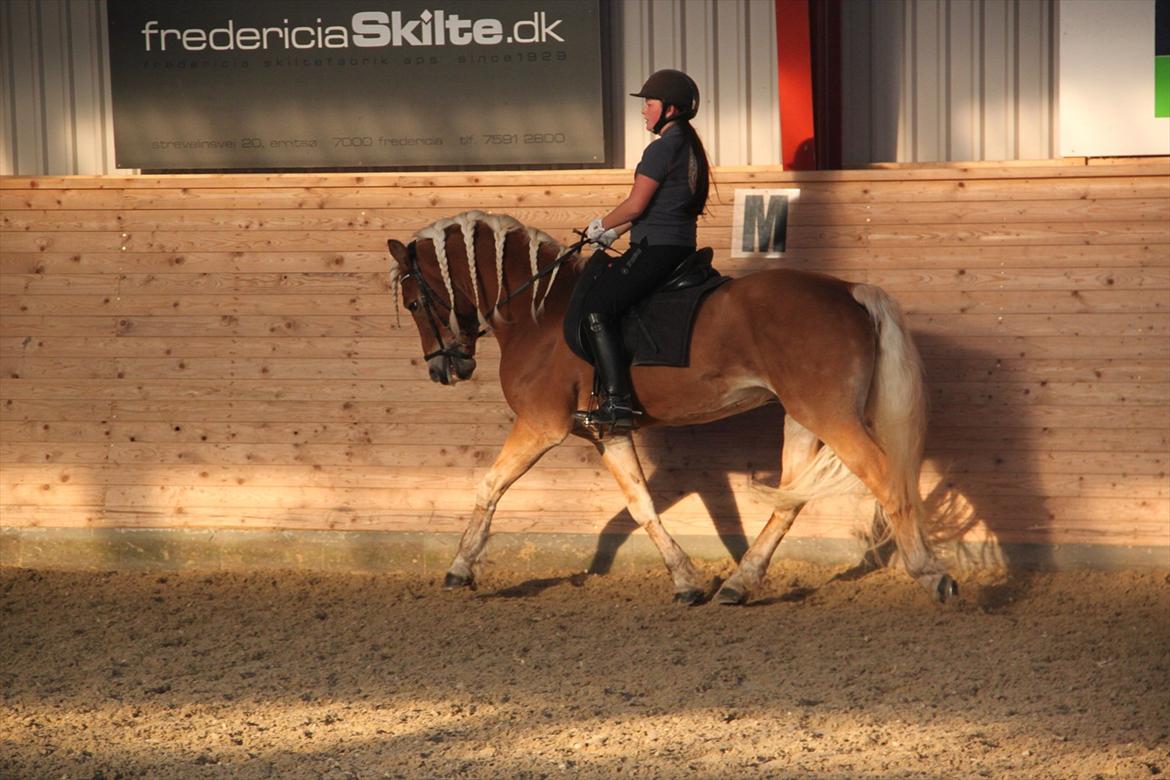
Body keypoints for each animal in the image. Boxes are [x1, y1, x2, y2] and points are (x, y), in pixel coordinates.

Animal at [388, 209, 954, 603]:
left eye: (415, 302)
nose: (446, 369)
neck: (539, 313)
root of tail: (851, 291)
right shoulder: (609, 431)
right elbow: (641, 505)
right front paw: (686, 581)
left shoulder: (540, 425)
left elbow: (489, 486)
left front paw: (459, 568)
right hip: (802, 417)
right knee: (792, 499)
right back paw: (739, 584)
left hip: (829, 415)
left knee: (887, 479)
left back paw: (932, 575)